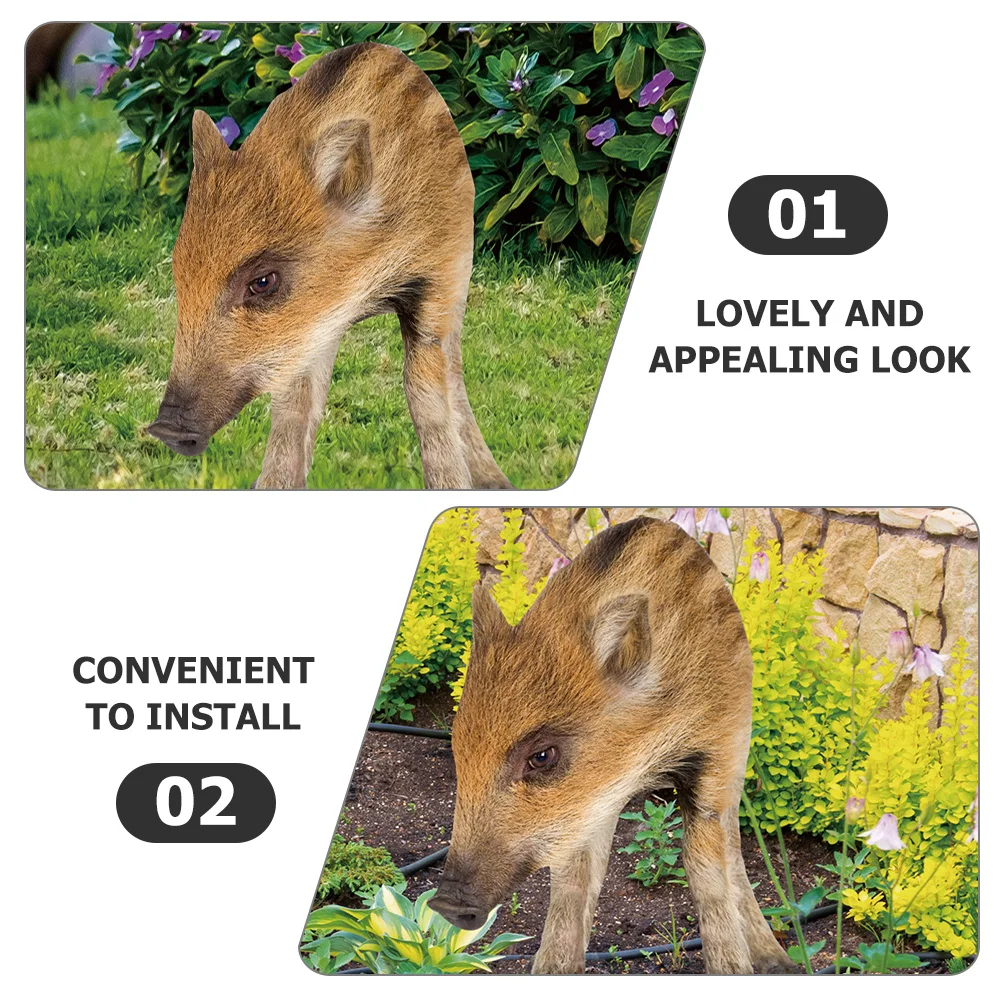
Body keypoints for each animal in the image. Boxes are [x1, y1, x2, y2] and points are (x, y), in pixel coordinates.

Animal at [147, 43, 511, 490]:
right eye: (179, 272)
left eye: (263, 281)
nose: (165, 429)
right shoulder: (307, 333)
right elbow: (295, 406)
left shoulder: (439, 275)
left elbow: (424, 391)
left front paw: (454, 489)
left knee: (454, 372)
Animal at [431, 516, 797, 974]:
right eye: (458, 749)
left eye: (542, 756)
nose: (444, 904)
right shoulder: (585, 809)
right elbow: (572, 881)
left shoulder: (716, 750)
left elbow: (704, 868)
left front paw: (734, 970)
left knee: (731, 845)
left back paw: (778, 963)